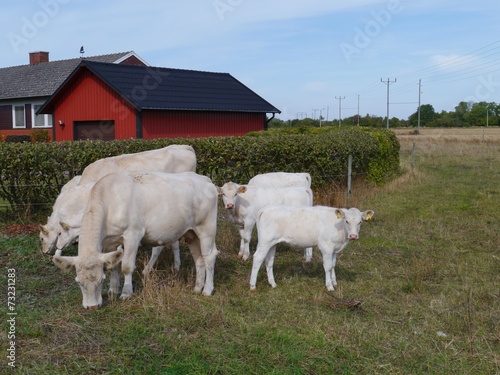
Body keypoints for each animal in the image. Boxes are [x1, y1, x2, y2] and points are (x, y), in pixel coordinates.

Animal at [52, 172, 219, 310]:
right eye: (79, 282)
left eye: (101, 280)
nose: (92, 307)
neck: (110, 203)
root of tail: (204, 179)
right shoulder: (109, 242)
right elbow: (114, 265)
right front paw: (113, 290)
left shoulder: (133, 234)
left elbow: (126, 266)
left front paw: (126, 293)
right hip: (191, 233)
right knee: (199, 259)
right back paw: (197, 287)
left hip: (207, 228)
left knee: (209, 257)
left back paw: (207, 290)